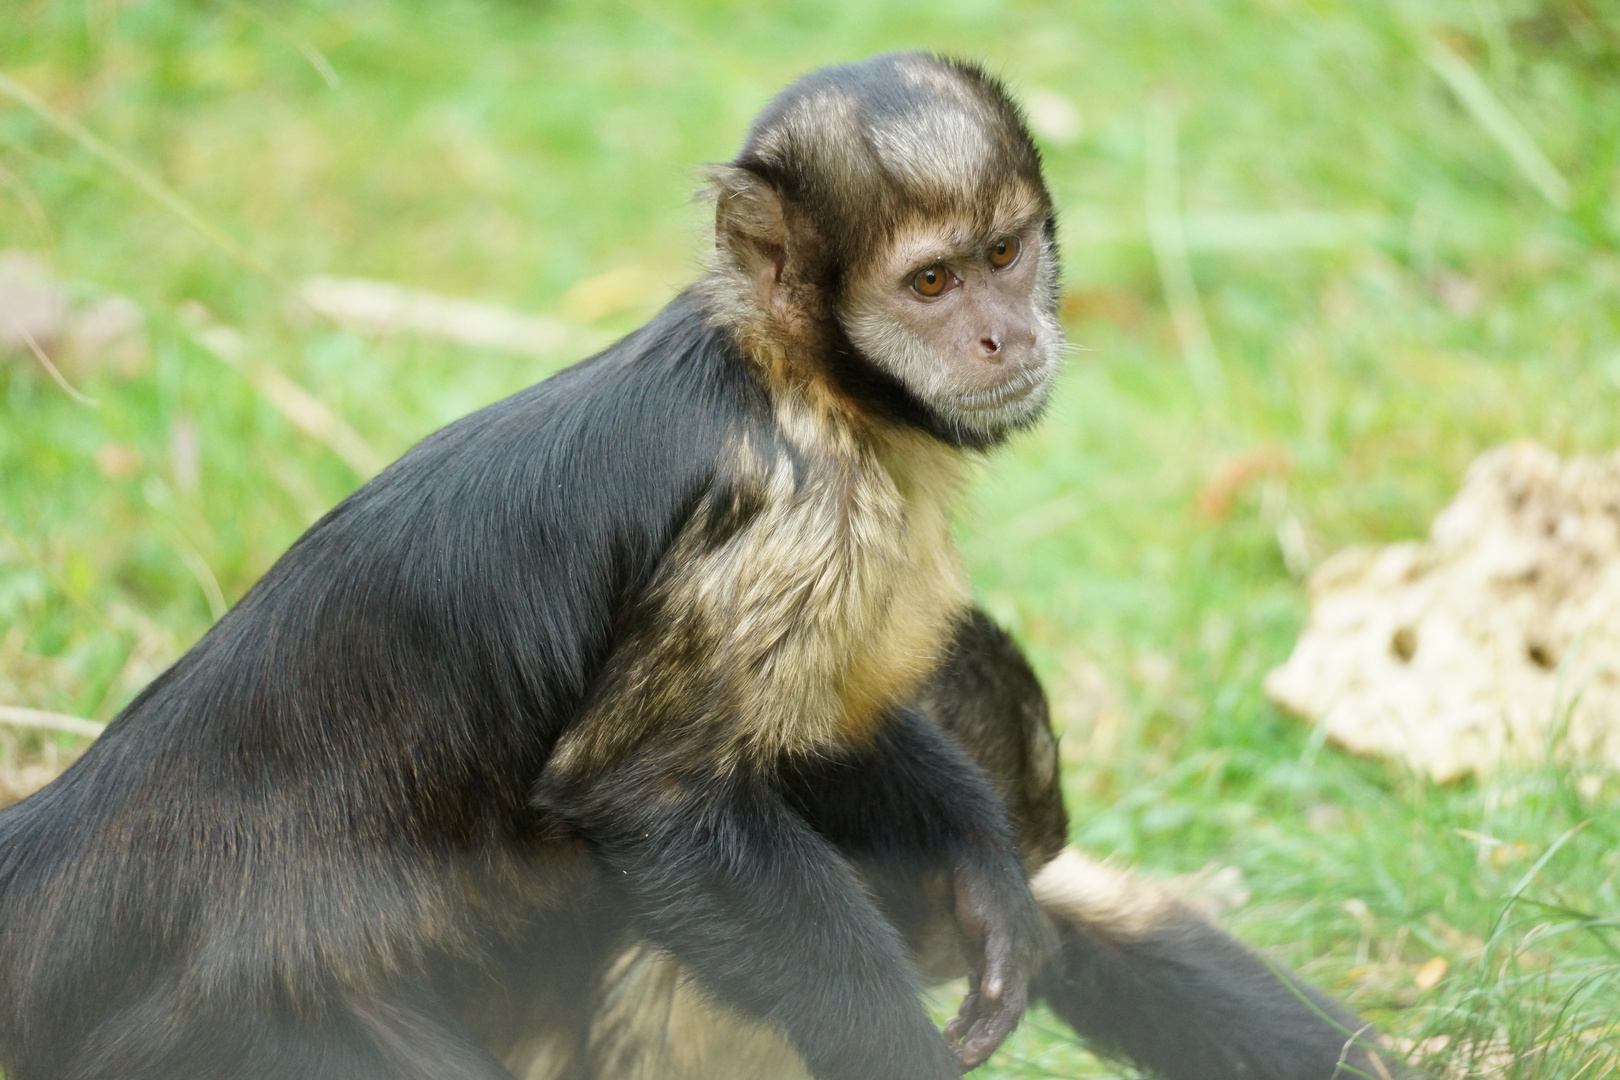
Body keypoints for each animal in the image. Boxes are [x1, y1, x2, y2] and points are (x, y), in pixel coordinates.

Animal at [0, 55, 1393, 1080]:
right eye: (931, 282)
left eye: (1005, 255)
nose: (1003, 332)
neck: (799, 374)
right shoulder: (791, 513)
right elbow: (644, 798)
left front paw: (981, 866)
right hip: (261, 1015)